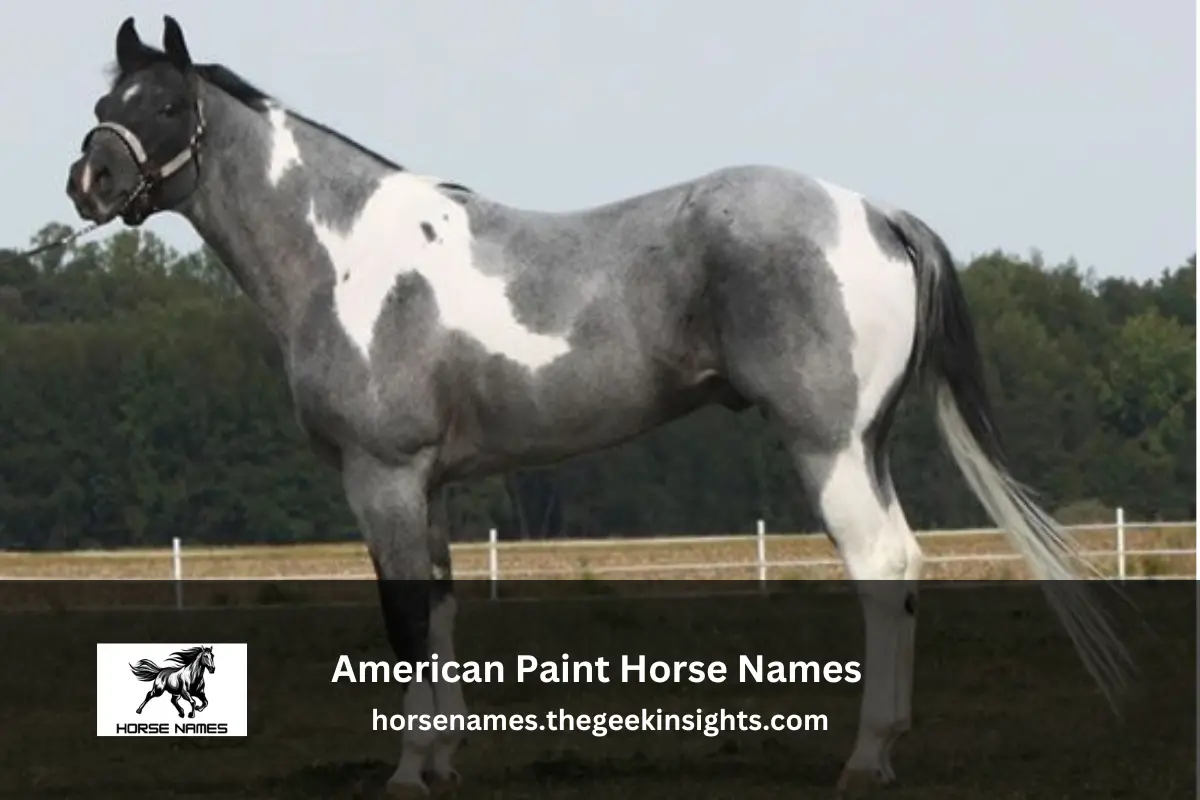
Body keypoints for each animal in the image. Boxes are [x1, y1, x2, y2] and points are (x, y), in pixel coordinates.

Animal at [65, 16, 1129, 797]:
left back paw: (864, 761)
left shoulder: (383, 478)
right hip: (866, 443)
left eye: (168, 104)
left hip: (825, 445)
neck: (349, 258)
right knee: (904, 564)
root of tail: (873, 213)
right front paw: (442, 765)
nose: (91, 180)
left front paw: (407, 775)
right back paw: (890, 745)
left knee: (878, 566)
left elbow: (404, 625)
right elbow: (441, 617)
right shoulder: (430, 487)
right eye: (105, 103)